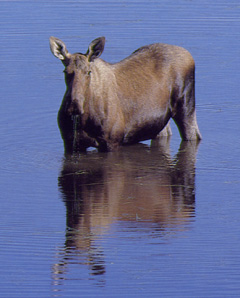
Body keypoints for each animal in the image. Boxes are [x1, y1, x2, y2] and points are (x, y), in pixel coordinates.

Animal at [49, 37, 202, 152]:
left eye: (89, 72)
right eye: (65, 71)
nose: (74, 106)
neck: (84, 118)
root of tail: (189, 55)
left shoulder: (112, 142)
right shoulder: (70, 143)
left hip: (186, 105)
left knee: (195, 135)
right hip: (160, 122)